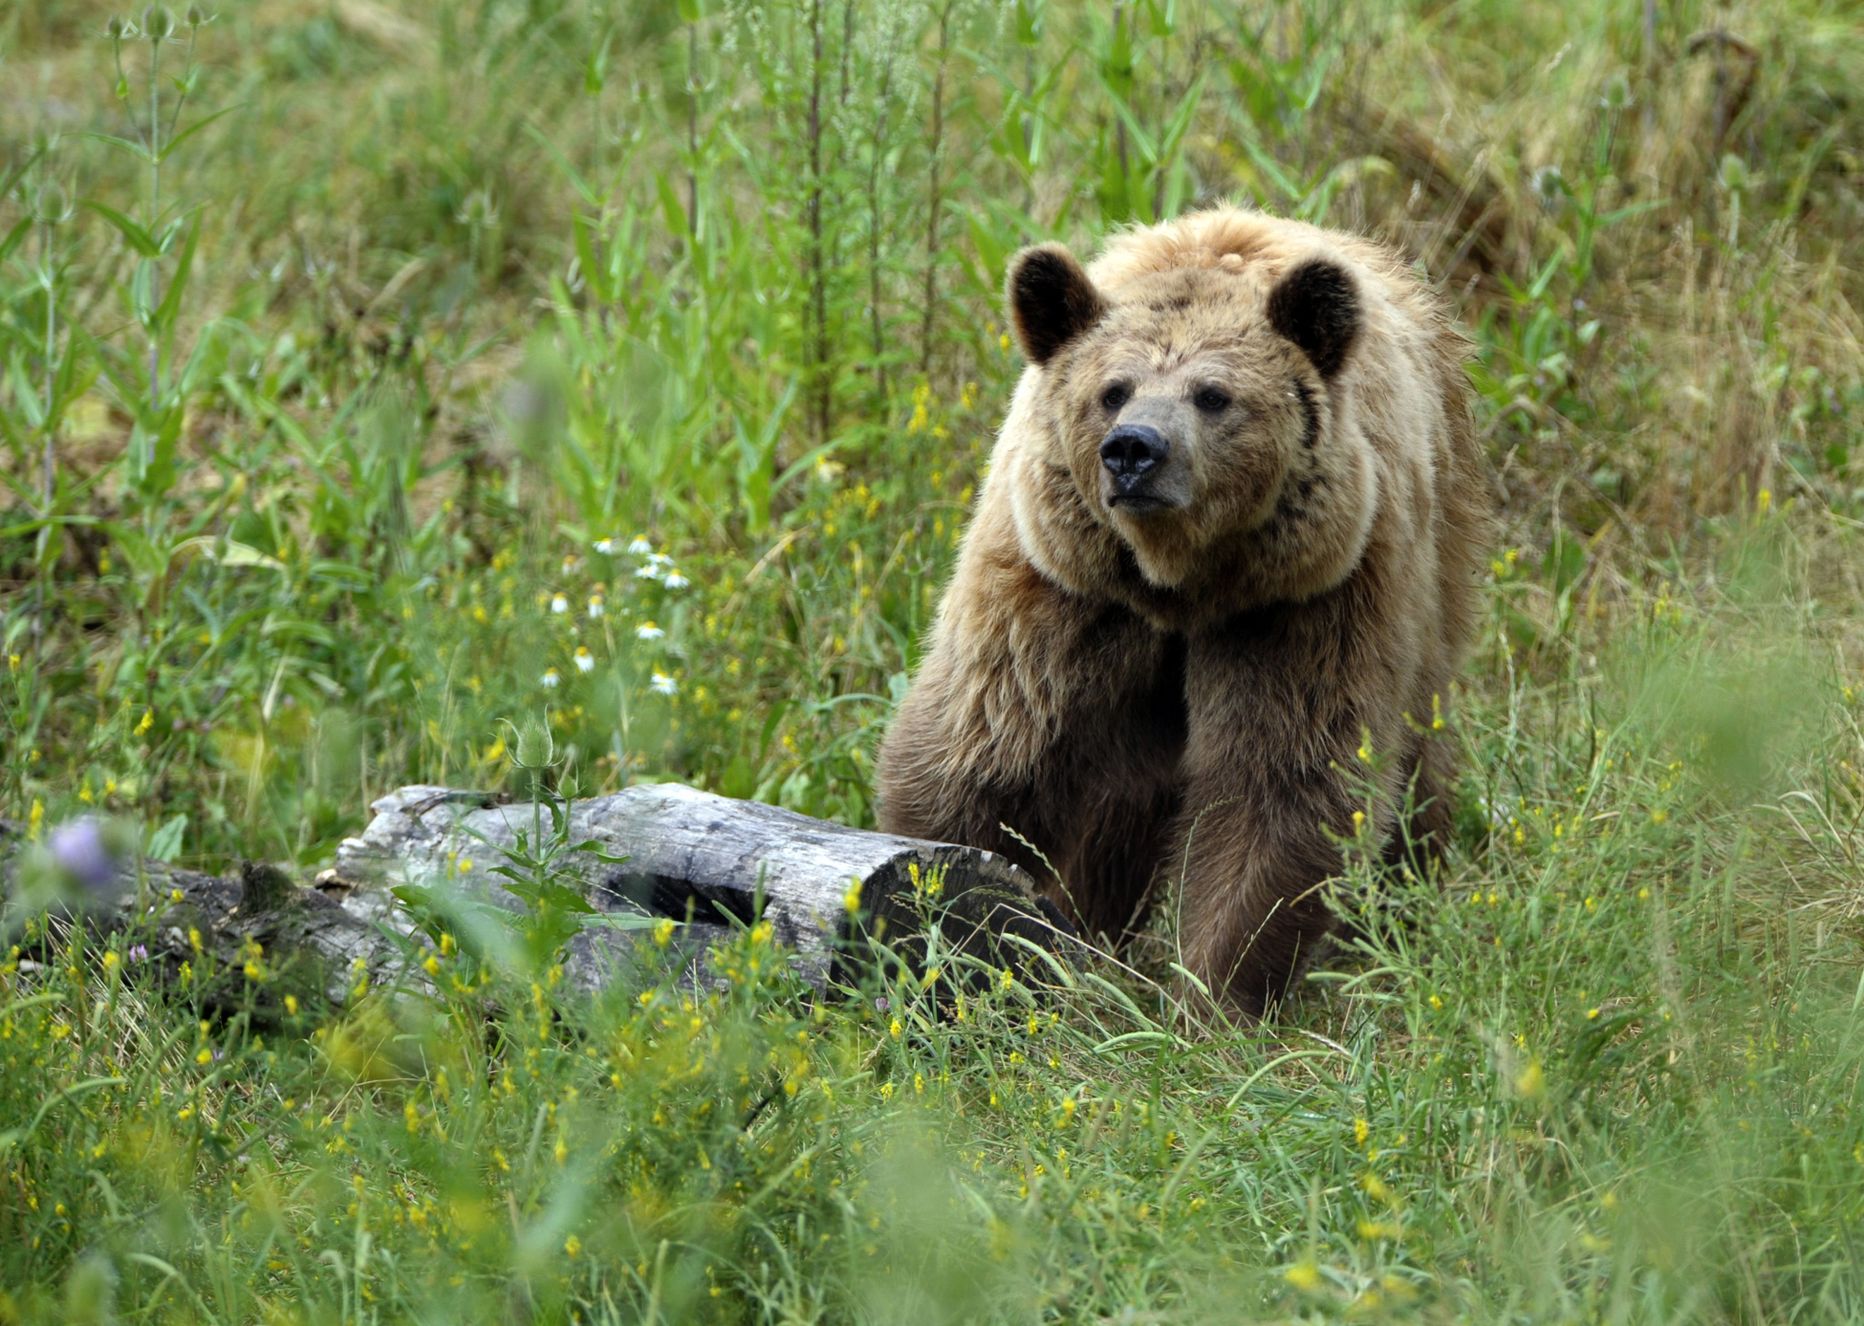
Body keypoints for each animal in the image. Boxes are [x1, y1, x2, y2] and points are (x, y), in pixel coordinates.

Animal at [879, 205, 1491, 1014]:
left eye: (1213, 393)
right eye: (1113, 389)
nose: (1134, 451)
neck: (1178, 584)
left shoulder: (1307, 601)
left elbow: (1279, 787)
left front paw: (1207, 998)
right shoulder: (1060, 586)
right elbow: (983, 748)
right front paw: (941, 915)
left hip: (1434, 573)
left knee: (1418, 767)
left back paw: (1399, 917)